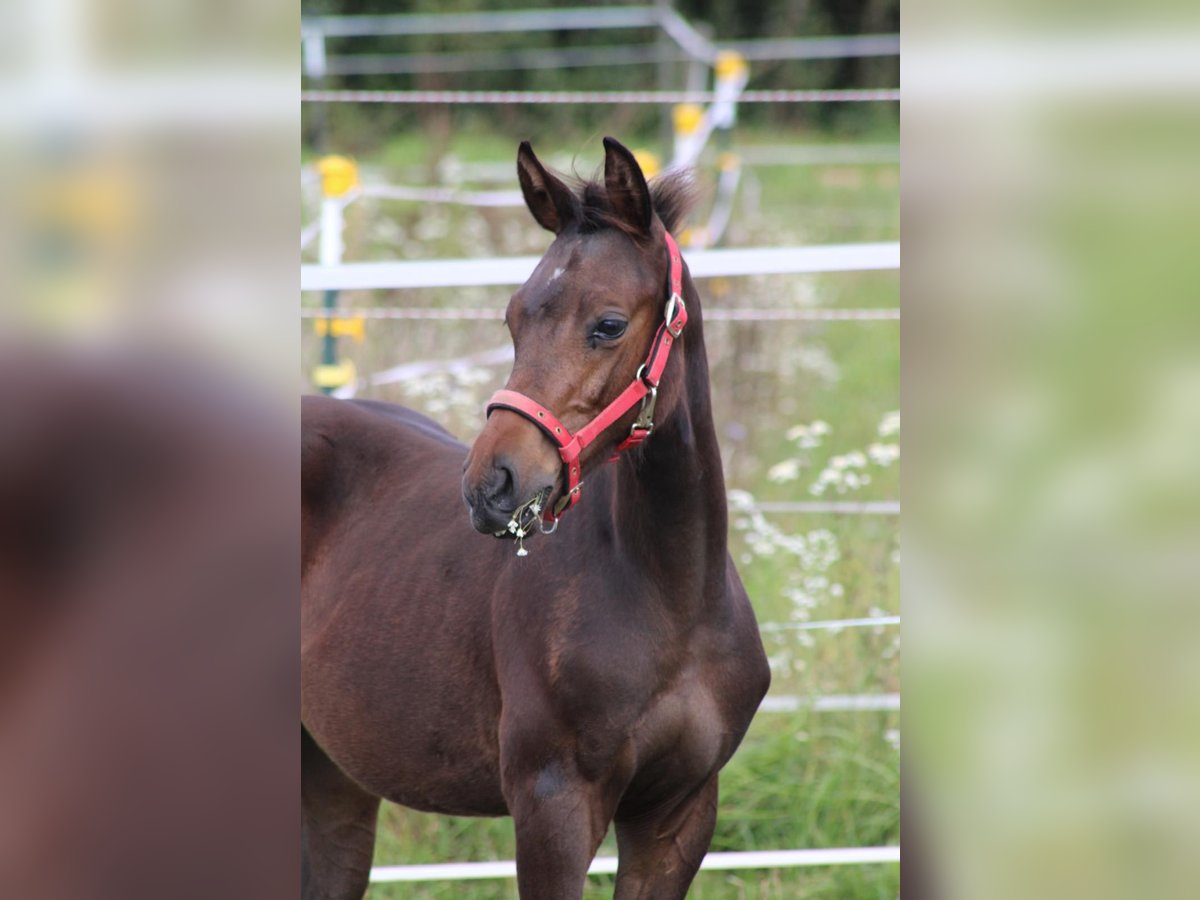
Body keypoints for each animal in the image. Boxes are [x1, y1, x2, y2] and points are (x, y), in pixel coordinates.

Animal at [300, 137, 768, 897]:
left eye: (608, 324)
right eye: (514, 319)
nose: (491, 485)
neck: (673, 594)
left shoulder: (680, 813)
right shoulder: (553, 805)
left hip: (333, 778)